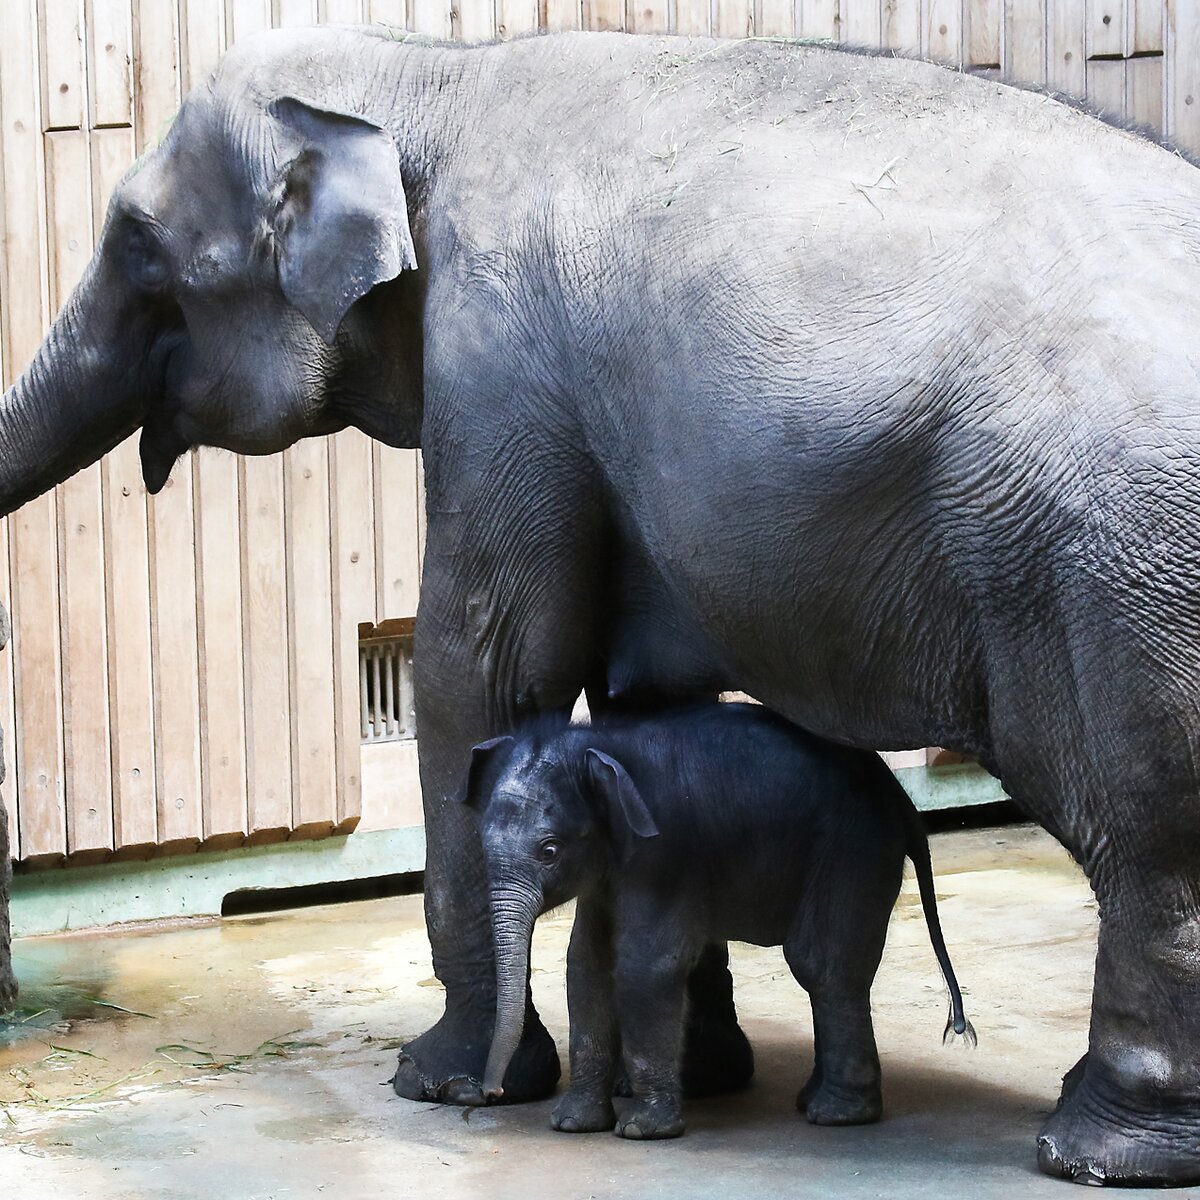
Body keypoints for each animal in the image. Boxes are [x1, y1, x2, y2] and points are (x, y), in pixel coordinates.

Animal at [460, 705, 974, 1137]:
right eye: (482, 843)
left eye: (549, 850)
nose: (491, 1091)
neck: (602, 746)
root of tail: (902, 800)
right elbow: (586, 964)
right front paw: (572, 1125)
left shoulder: (665, 855)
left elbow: (646, 967)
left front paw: (641, 1131)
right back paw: (813, 1102)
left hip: (853, 850)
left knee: (822, 965)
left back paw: (836, 1116)